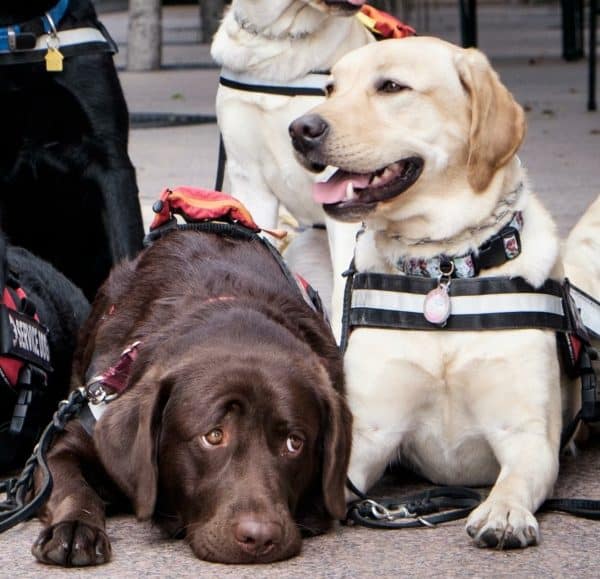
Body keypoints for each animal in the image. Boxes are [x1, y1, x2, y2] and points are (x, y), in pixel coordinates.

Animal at [288, 37, 596, 552]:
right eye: (330, 88)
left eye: (391, 87)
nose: (299, 128)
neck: (443, 271)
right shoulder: (369, 434)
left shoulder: (526, 436)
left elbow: (514, 480)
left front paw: (503, 512)